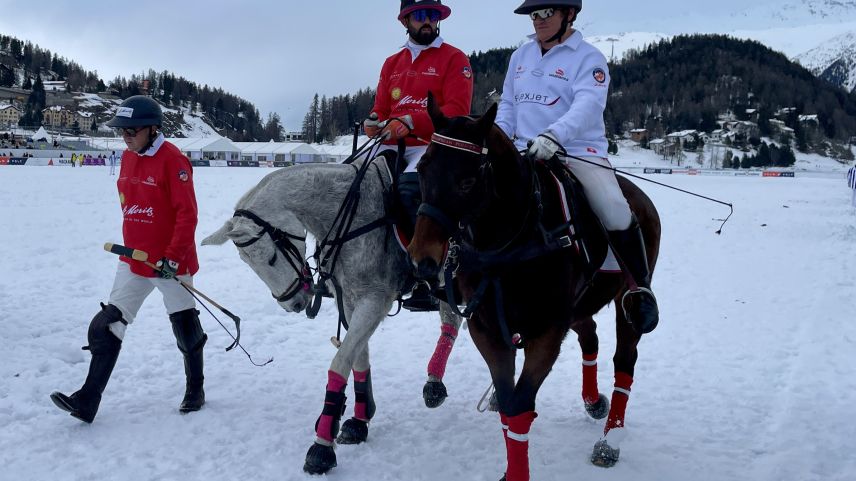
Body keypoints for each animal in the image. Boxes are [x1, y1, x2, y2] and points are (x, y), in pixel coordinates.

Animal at [201, 158, 464, 472]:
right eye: (247, 263)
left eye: (271, 258)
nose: (293, 303)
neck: (352, 218)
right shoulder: (350, 300)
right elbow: (357, 359)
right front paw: (359, 420)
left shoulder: (375, 300)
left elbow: (340, 362)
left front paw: (322, 446)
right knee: (453, 317)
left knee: (456, 318)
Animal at [408, 94, 664, 480]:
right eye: (422, 168)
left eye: (467, 181)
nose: (421, 259)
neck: (510, 240)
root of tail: (640, 196)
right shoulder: (488, 330)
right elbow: (507, 402)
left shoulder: (546, 331)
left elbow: (519, 408)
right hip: (580, 305)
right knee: (590, 336)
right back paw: (594, 401)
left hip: (625, 299)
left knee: (625, 358)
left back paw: (609, 441)